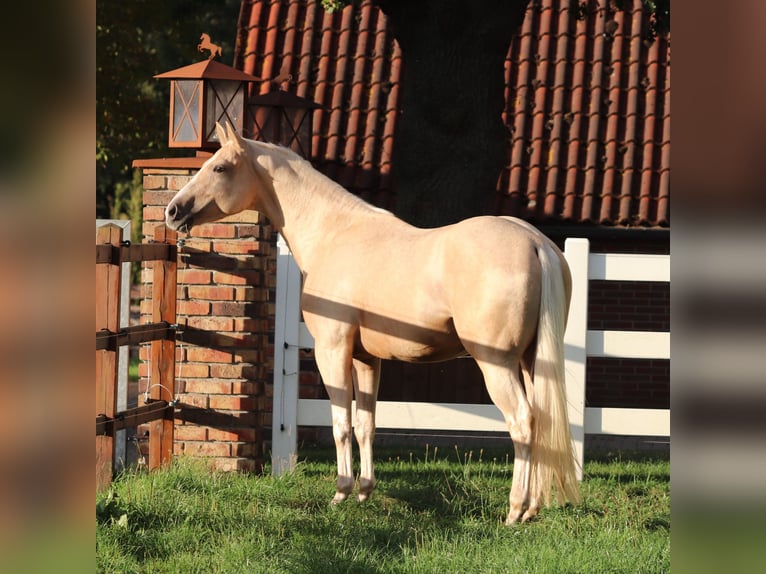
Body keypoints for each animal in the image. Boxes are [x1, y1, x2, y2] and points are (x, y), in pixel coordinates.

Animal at [165, 124, 580, 524]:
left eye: (220, 167)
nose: (173, 210)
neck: (333, 233)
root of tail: (535, 242)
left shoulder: (332, 350)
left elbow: (340, 422)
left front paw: (341, 492)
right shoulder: (366, 359)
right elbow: (366, 424)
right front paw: (365, 491)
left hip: (497, 363)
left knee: (522, 421)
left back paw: (516, 510)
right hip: (529, 361)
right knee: (540, 422)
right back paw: (533, 507)